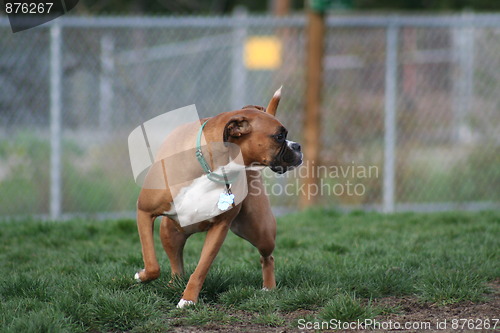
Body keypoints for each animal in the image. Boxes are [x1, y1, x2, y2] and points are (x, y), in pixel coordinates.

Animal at [133, 87, 302, 308]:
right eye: (280, 136)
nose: (297, 146)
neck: (209, 166)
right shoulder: (144, 212)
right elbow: (153, 265)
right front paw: (142, 275)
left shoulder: (219, 229)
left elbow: (201, 269)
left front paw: (188, 299)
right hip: (170, 232)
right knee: (176, 266)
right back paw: (173, 285)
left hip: (260, 232)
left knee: (268, 258)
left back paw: (268, 288)